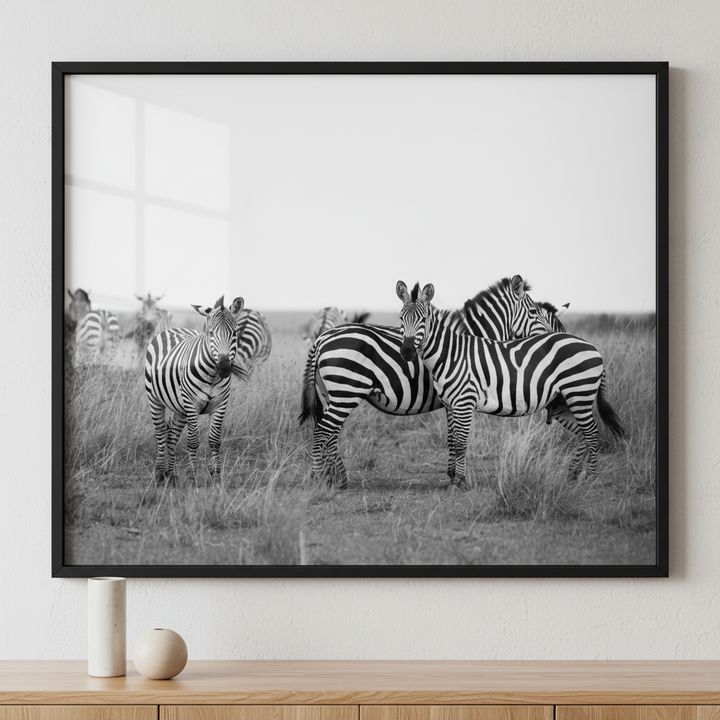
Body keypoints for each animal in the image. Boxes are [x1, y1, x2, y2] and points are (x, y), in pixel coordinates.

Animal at [144, 295, 244, 484]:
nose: (224, 368)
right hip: (155, 399)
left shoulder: (221, 405)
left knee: (172, 436)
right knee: (160, 432)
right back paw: (159, 473)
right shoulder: (191, 404)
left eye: (234, 333)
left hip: (180, 408)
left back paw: (171, 474)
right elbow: (192, 440)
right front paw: (192, 476)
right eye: (211, 333)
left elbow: (214, 440)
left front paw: (216, 475)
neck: (212, 376)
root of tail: (172, 329)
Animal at [300, 275, 566, 487]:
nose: (554, 341)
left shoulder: (454, 397)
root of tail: (322, 338)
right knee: (324, 431)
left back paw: (337, 478)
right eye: (534, 313)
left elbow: (452, 436)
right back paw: (320, 479)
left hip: (331, 394)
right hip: (346, 391)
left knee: (327, 432)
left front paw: (452, 474)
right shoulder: (459, 395)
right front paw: (457, 476)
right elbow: (456, 438)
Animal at [396, 280, 625, 488]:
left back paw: (590, 478)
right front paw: (454, 478)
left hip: (580, 394)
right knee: (582, 434)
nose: (406, 351)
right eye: (400, 318)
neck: (451, 354)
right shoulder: (451, 405)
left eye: (423, 319)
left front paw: (459, 481)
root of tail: (592, 347)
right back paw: (573, 475)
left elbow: (460, 442)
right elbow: (452, 441)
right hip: (564, 401)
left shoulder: (464, 402)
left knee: (592, 434)